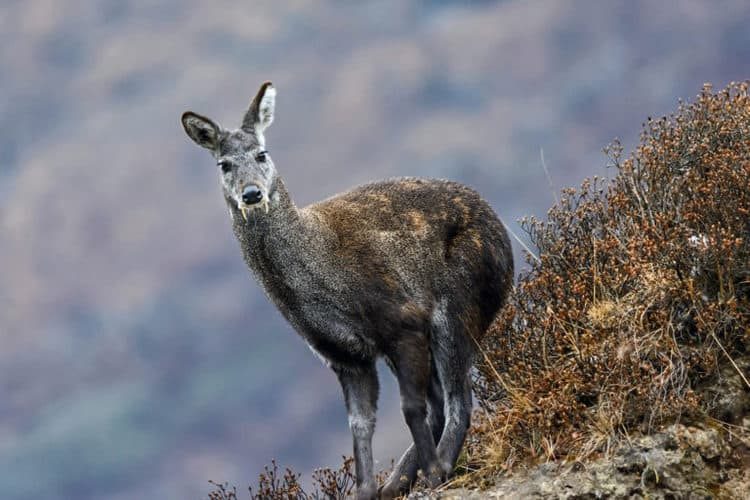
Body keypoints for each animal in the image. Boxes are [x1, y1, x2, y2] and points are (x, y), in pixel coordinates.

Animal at [179, 83, 516, 500]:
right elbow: (360, 424)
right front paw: (366, 489)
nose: (252, 194)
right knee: (443, 401)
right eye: (223, 164)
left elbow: (410, 407)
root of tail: (503, 235)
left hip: (459, 302)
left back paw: (437, 469)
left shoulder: (402, 319)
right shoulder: (344, 355)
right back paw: (397, 482)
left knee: (458, 399)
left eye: (262, 153)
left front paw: (434, 472)